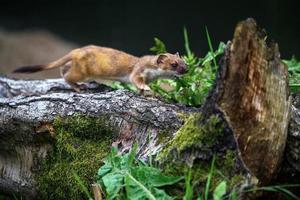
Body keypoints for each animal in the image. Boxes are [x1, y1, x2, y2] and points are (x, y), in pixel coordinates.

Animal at [14, 45, 188, 92]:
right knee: (67, 76)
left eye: (184, 61)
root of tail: (76, 50)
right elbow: (136, 80)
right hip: (82, 72)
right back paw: (79, 87)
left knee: (63, 69)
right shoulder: (138, 71)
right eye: (174, 64)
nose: (186, 70)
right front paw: (145, 88)